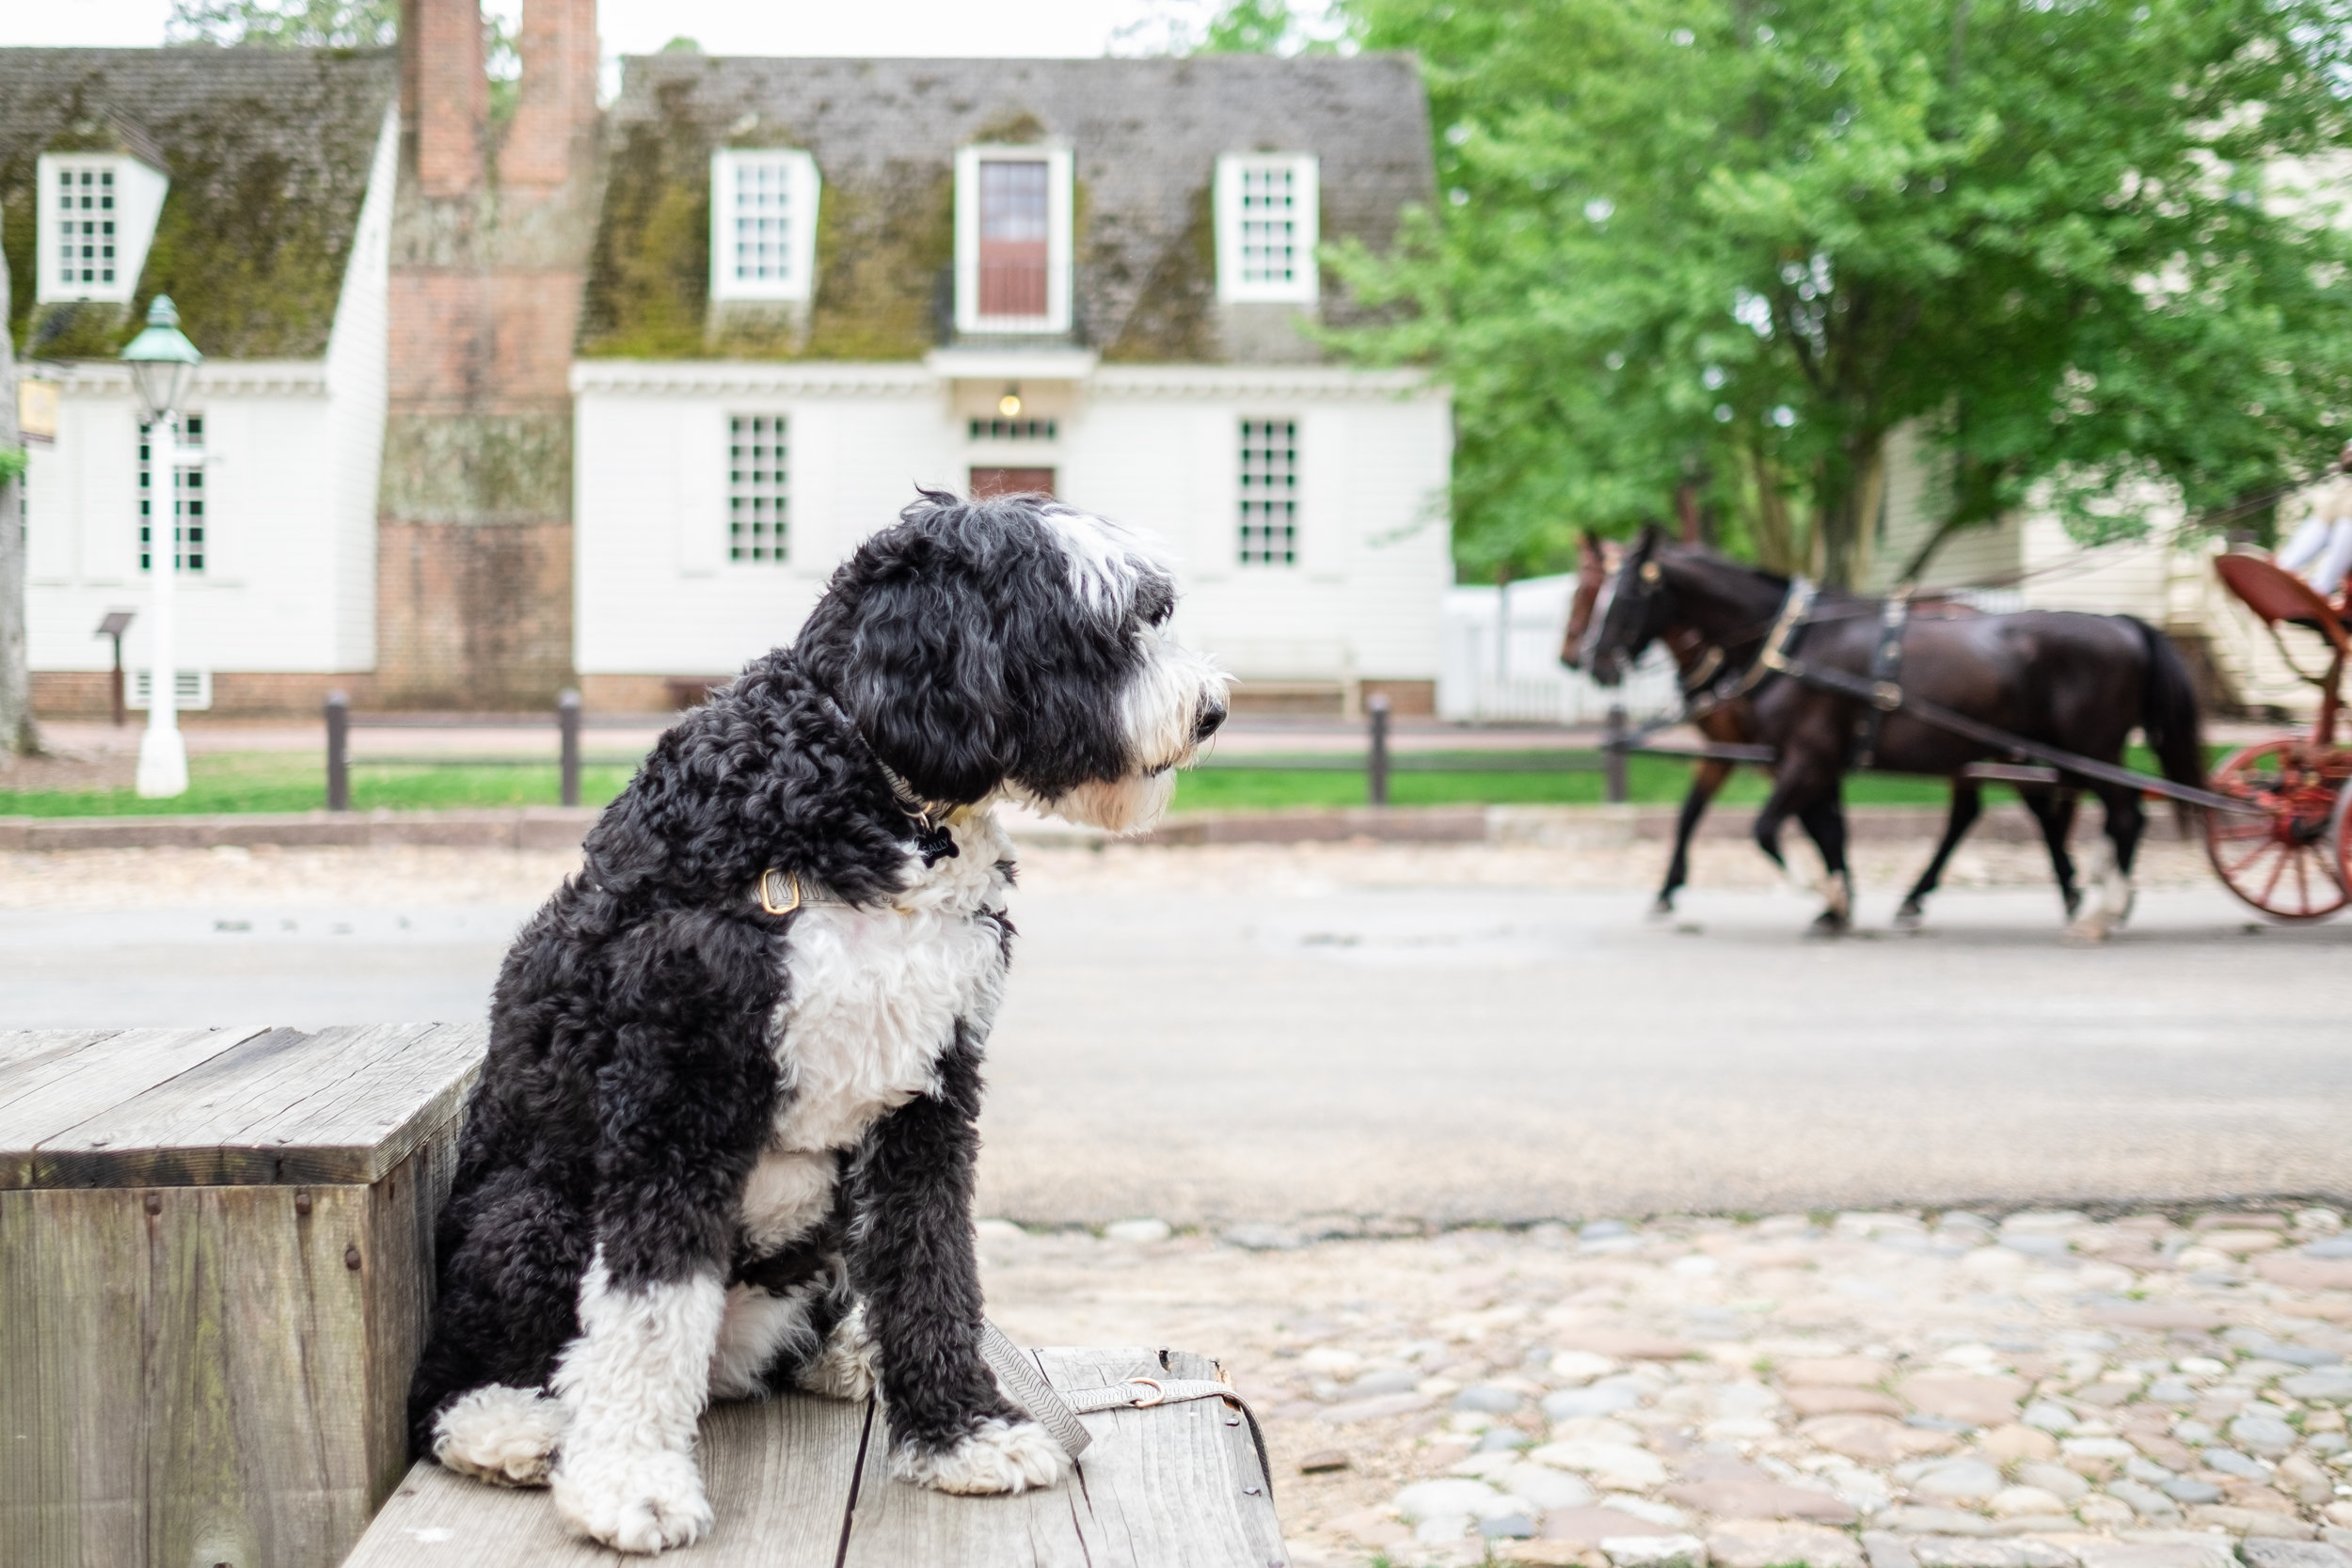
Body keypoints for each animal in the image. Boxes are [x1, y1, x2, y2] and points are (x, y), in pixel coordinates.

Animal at [405, 493, 1223, 1560]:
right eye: (1097, 631)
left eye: (1154, 611)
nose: (1212, 710)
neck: (865, 796)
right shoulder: (679, 1089)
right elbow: (648, 1306)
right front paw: (629, 1481)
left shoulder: (929, 1093)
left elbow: (931, 1265)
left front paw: (960, 1428)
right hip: (530, 1214)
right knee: (447, 1384)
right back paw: (513, 1429)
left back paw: (845, 1354)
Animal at [1581, 533, 2201, 940]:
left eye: (1624, 594)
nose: (1591, 660)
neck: (1796, 645)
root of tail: (2123, 624)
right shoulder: (1806, 762)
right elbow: (1823, 831)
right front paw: (1836, 904)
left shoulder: (1805, 758)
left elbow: (1766, 830)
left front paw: (1826, 893)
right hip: (2045, 753)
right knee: (2074, 815)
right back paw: (2090, 892)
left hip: (2084, 750)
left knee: (2122, 815)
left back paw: (2099, 908)